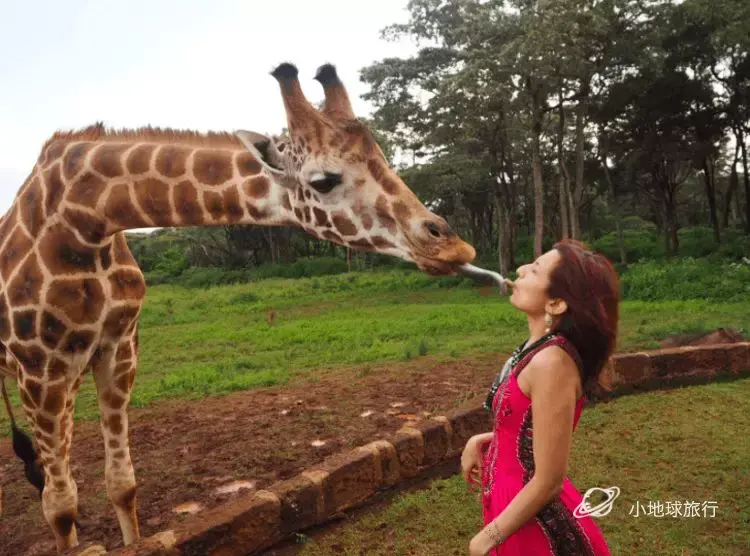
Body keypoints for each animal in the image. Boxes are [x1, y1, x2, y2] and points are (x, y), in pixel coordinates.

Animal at [0, 64, 476, 552]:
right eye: (324, 180)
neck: (87, 220)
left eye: (381, 156)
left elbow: (122, 485)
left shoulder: (118, 352)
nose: (452, 245)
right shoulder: (38, 368)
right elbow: (60, 507)